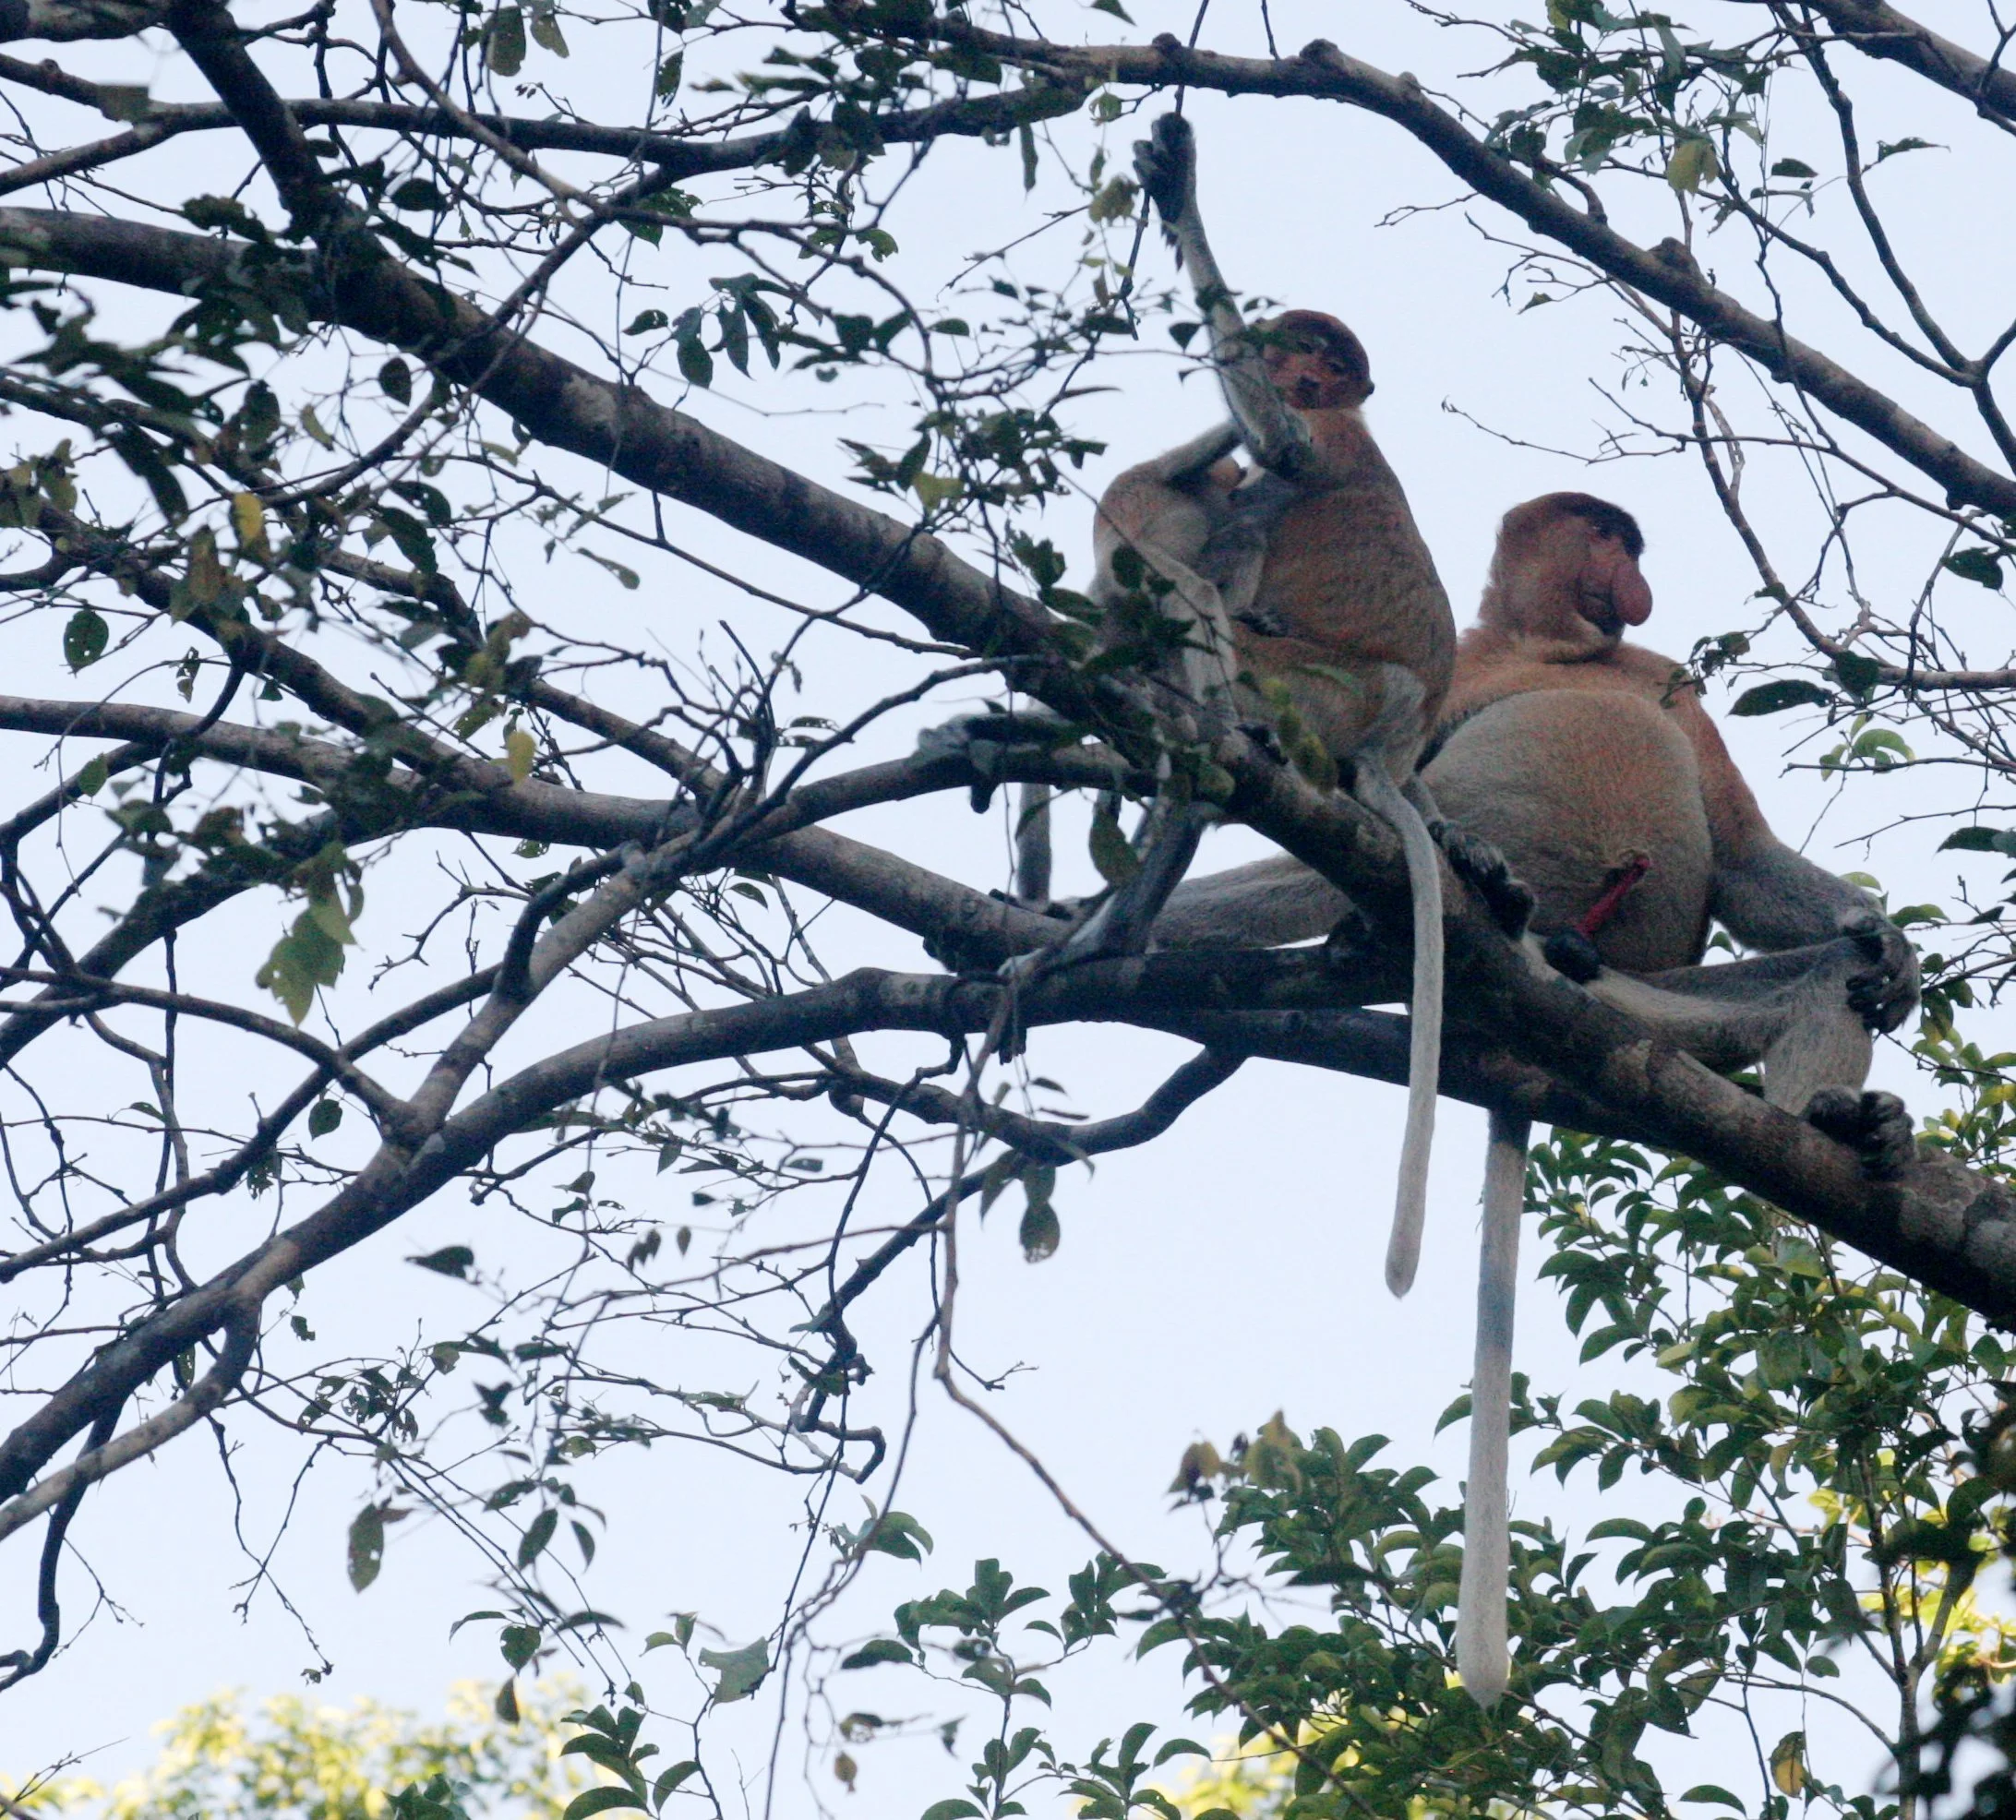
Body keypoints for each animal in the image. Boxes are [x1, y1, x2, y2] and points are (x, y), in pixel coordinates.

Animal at [1152, 491, 1918, 1708]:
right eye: (1606, 536)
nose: (1632, 575)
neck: (1553, 648)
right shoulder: (1462, 668)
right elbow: (1367, 775)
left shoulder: (1661, 679)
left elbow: (1747, 858)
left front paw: (1890, 947)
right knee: (1337, 861)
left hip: (1654, 1009)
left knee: (1812, 984)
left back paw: (1841, 1127)